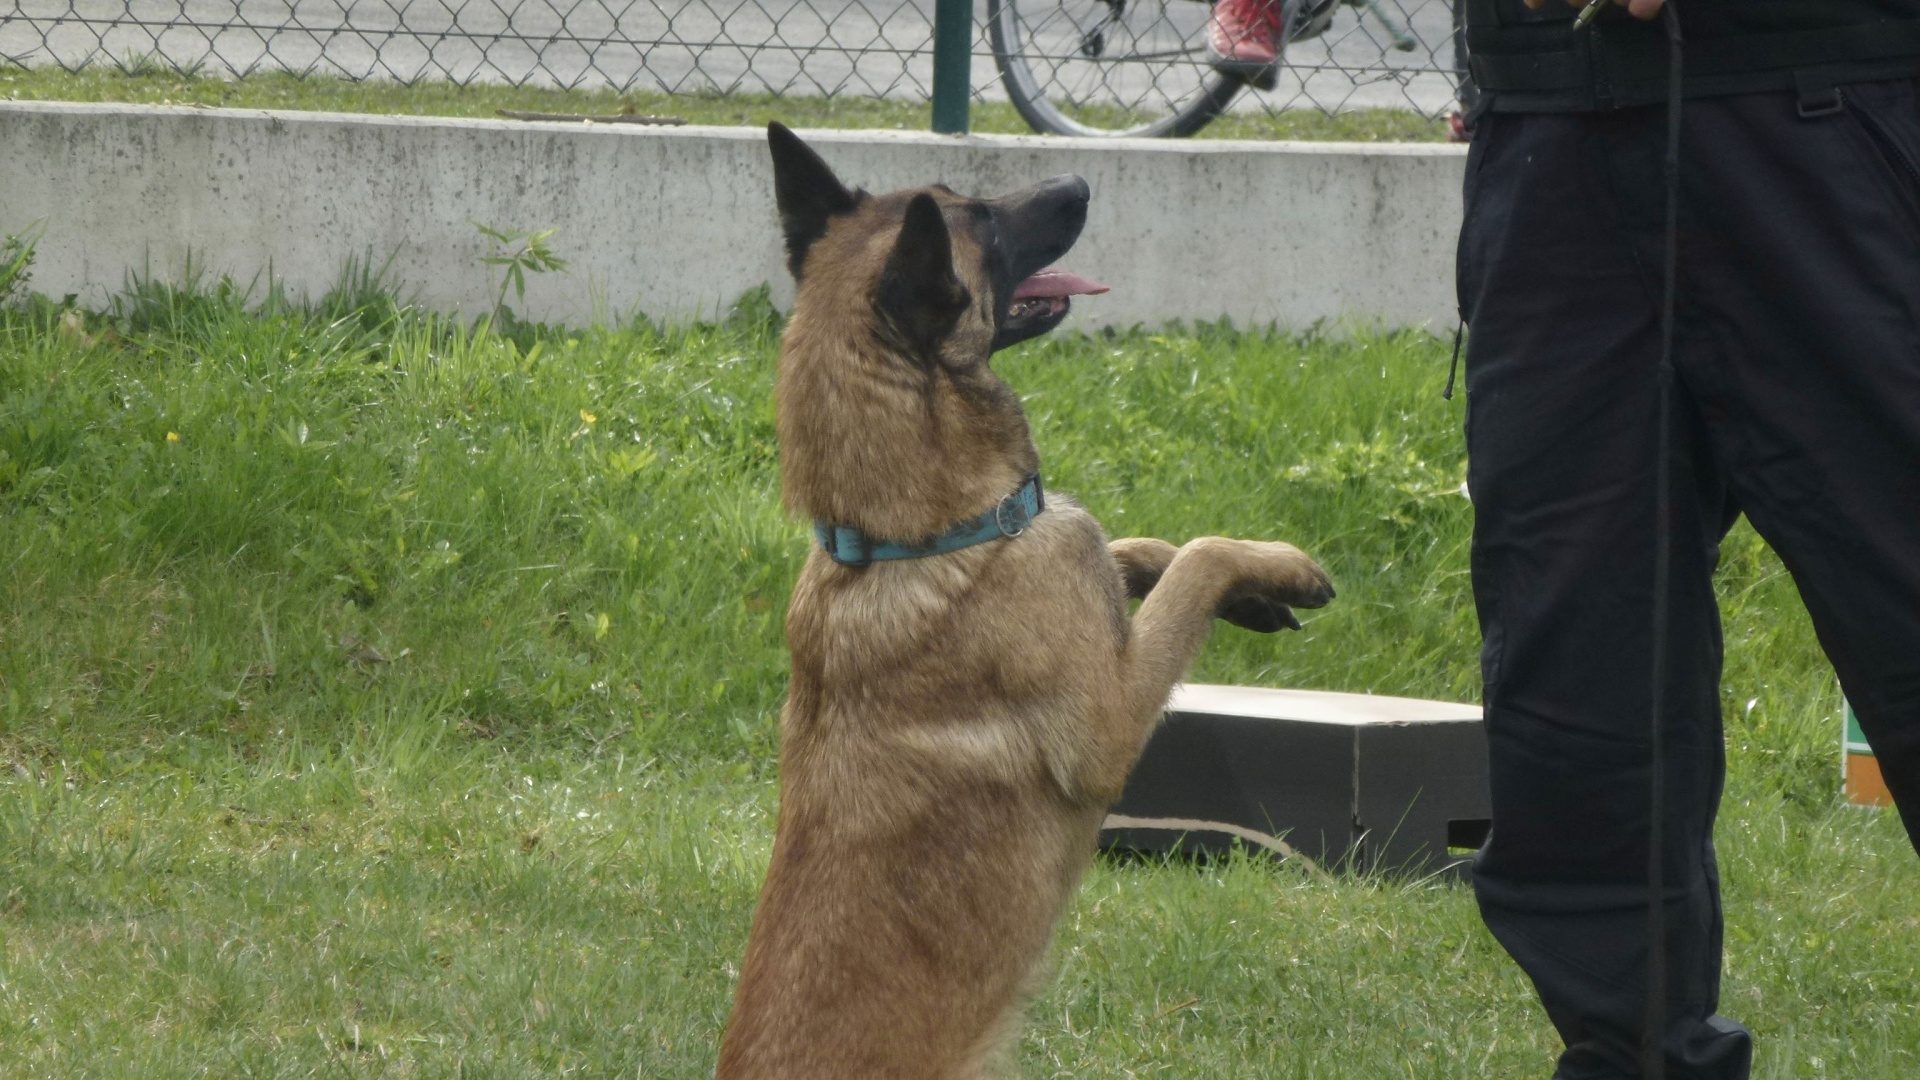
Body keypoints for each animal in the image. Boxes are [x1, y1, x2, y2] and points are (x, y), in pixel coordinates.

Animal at [714, 123, 1335, 1080]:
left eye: (963, 196)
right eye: (983, 225)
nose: (1079, 178)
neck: (922, 537)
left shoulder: (1070, 561)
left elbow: (1130, 551)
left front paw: (1256, 593)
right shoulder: (1109, 728)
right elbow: (1194, 561)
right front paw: (1277, 566)